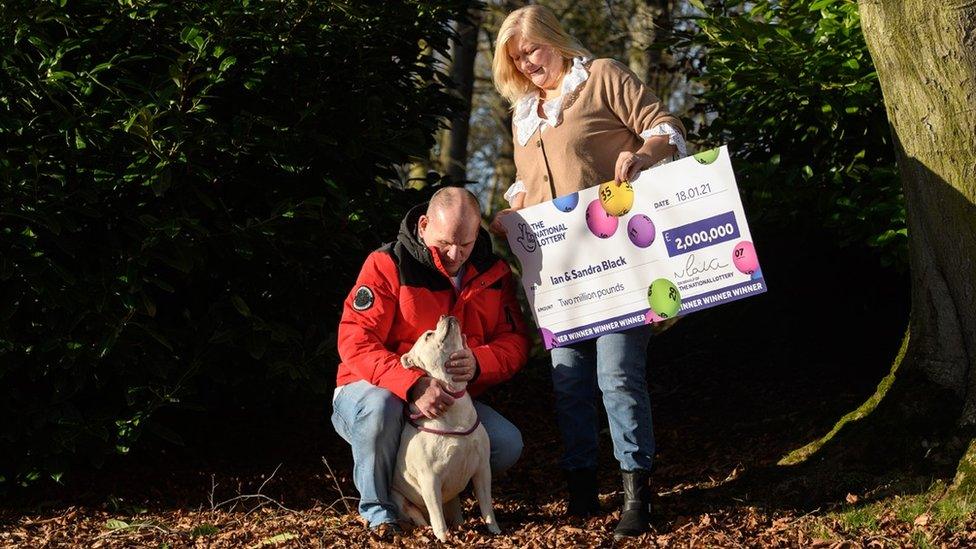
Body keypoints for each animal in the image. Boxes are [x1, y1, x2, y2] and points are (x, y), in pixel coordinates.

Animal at [388, 312, 500, 540]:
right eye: (428, 335)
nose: (445, 315)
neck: (453, 393)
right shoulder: (430, 480)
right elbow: (437, 518)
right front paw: (445, 539)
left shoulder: (483, 469)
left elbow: (487, 506)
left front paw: (495, 531)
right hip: (402, 501)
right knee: (421, 517)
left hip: (453, 498)